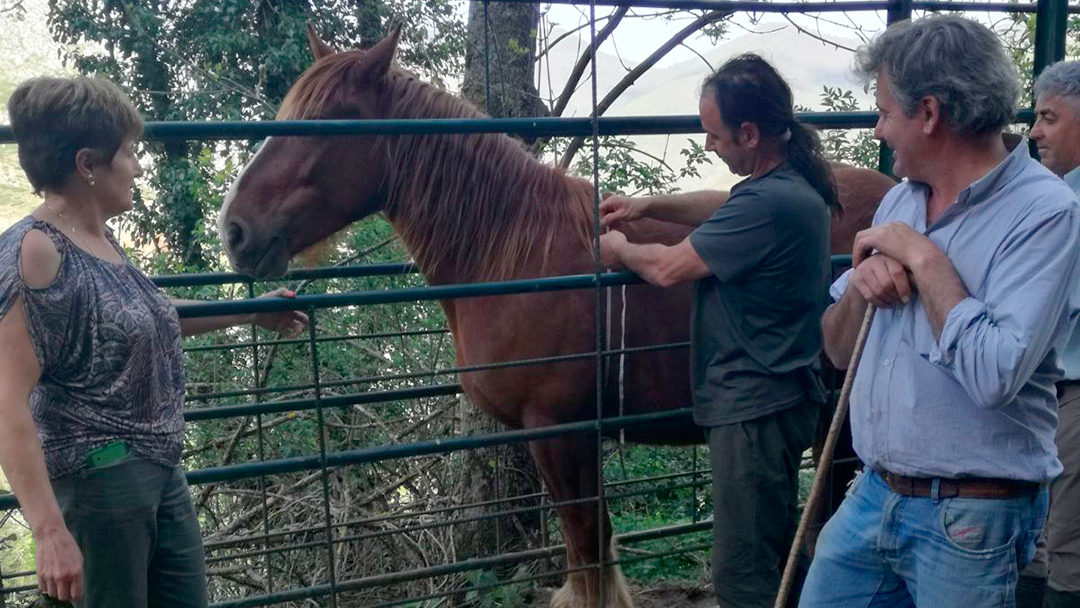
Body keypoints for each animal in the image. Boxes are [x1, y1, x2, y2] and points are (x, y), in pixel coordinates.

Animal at [219, 27, 894, 604]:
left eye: (327, 124)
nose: (236, 231)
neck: (516, 253)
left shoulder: (559, 432)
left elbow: (589, 553)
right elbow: (588, 552)